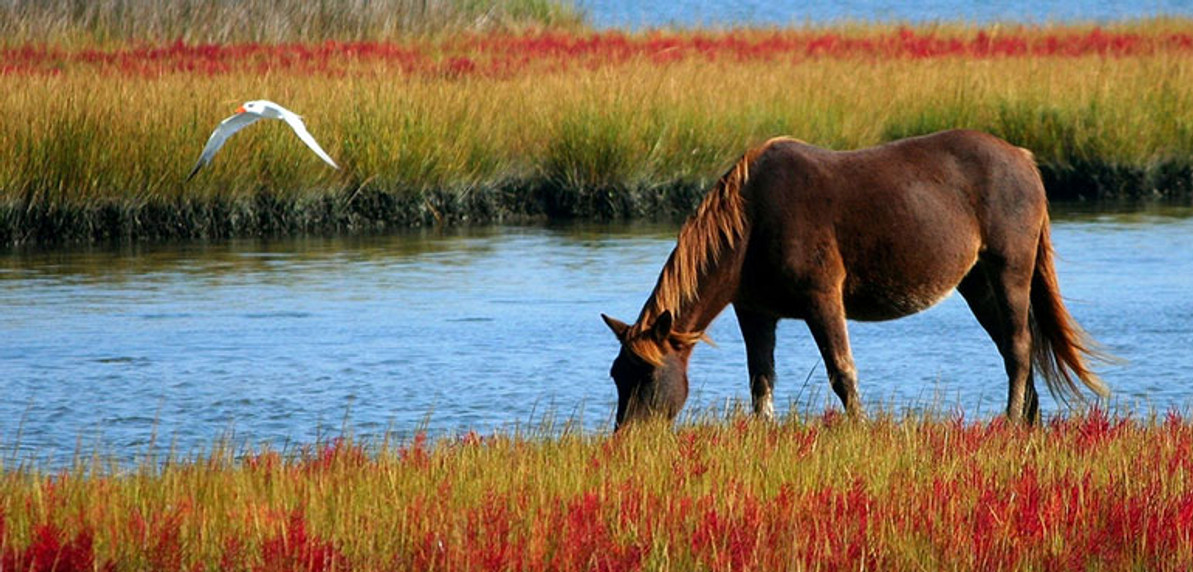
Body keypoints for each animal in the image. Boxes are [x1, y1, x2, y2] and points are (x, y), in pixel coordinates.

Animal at [606, 127, 1107, 427]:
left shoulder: (822, 299)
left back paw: (1011, 420)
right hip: (977, 283)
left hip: (1009, 270)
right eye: (616, 374)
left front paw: (859, 429)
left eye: (647, 375)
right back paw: (1028, 421)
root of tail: (1023, 159)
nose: (628, 438)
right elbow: (760, 380)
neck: (752, 220)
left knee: (1020, 347)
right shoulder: (755, 312)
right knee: (1011, 347)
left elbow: (842, 372)